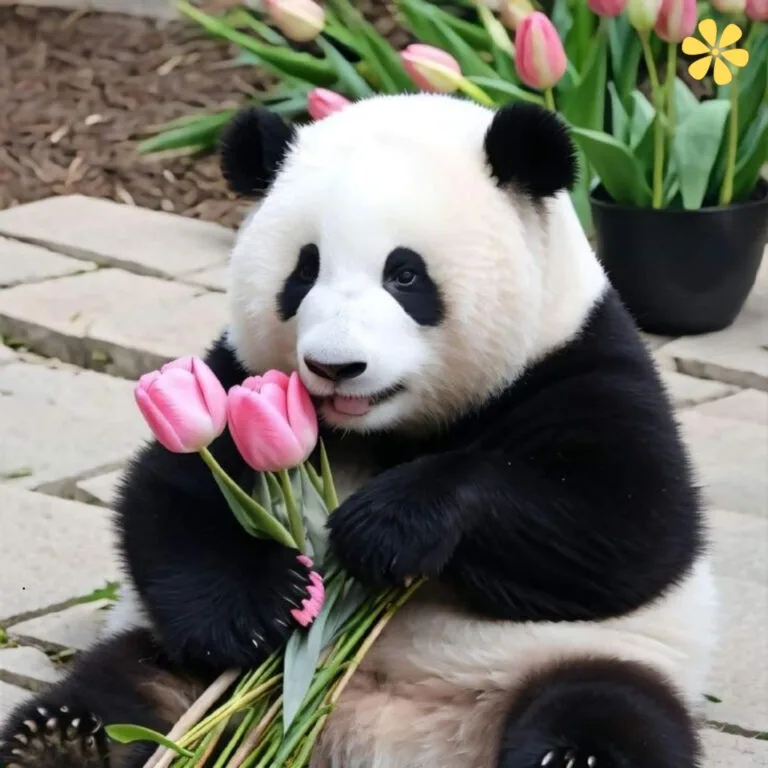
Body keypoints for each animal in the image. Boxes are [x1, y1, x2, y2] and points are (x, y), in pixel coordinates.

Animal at [0, 93, 717, 768]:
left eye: (405, 274)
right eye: (304, 271)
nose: (334, 366)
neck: (386, 430)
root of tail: (364, 734)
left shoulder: (578, 357)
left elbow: (632, 523)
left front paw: (386, 528)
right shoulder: (237, 377)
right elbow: (171, 501)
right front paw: (263, 605)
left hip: (579, 656)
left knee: (608, 709)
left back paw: (571, 757)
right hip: (176, 665)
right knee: (131, 686)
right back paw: (57, 741)